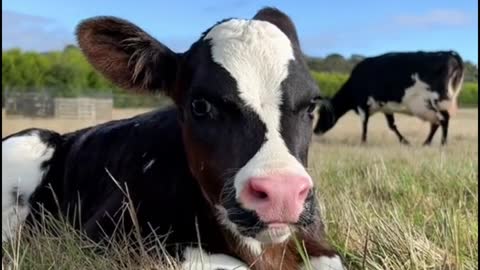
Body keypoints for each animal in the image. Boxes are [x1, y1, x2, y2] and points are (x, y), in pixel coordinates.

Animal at [314, 49, 464, 144]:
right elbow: (392, 125)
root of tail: (449, 53)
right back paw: (426, 142)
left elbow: (364, 124)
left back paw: (443, 143)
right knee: (436, 123)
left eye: (322, 113)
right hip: (430, 106)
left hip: (437, 100)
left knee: (444, 120)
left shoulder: (362, 104)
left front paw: (363, 141)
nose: (315, 131)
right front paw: (405, 141)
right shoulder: (386, 107)